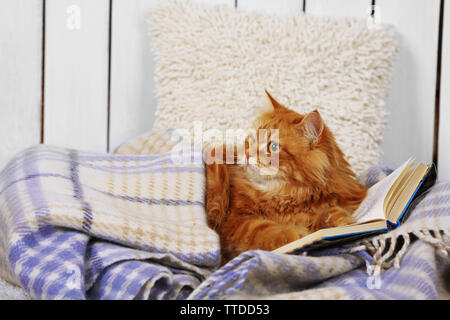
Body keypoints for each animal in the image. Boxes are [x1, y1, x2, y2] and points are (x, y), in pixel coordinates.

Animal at [206, 90, 368, 264]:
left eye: (273, 146)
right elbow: (267, 231)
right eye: (251, 140)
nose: (248, 154)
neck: (290, 194)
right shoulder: (236, 222)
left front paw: (336, 221)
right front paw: (296, 235)